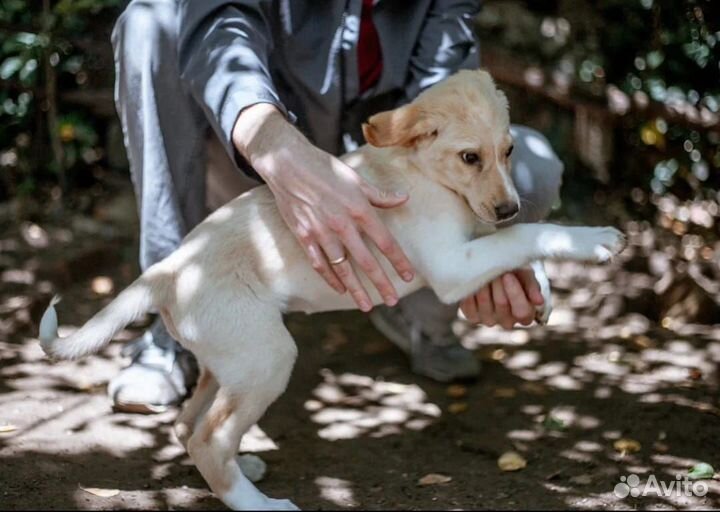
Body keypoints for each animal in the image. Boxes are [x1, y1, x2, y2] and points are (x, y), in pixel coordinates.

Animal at [38, 70, 624, 510]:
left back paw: (244, 467)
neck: (423, 172)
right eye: (469, 158)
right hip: (267, 357)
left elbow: (517, 243)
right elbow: (527, 235)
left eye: (508, 151)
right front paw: (592, 239)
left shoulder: (473, 239)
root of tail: (167, 270)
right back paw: (257, 504)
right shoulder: (451, 264)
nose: (508, 205)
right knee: (207, 437)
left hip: (228, 362)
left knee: (188, 424)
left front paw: (540, 288)